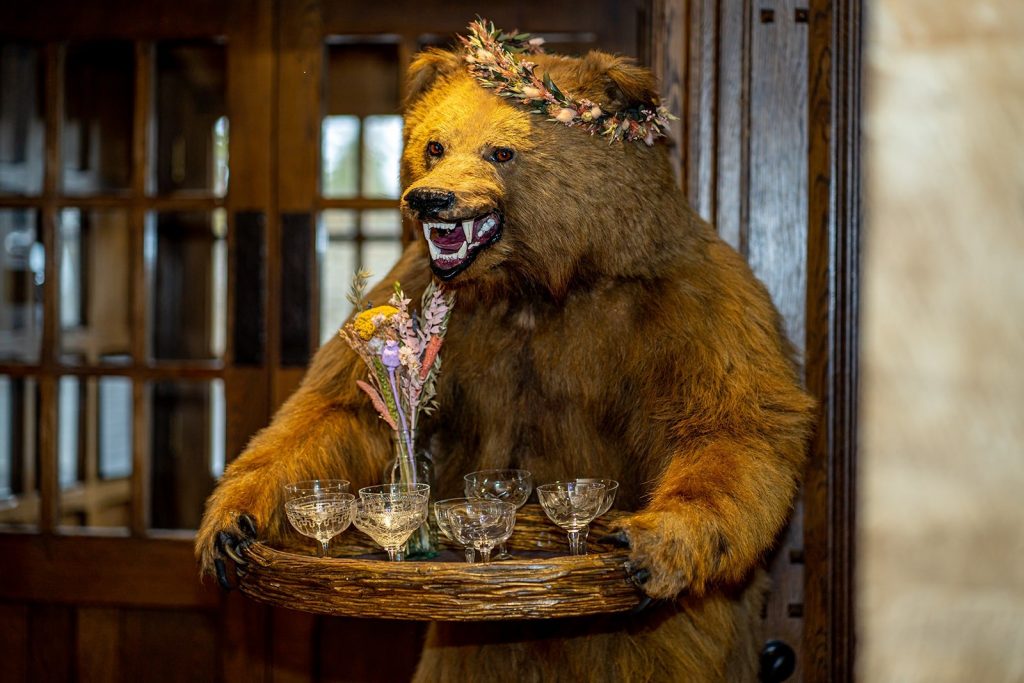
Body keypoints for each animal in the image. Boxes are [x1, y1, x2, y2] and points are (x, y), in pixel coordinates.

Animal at [196, 23, 814, 682]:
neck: (540, 284)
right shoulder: (424, 300)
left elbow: (734, 422)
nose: (430, 199)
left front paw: (652, 539)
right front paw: (231, 523)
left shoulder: (685, 308)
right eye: (435, 144)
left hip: (675, 637)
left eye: (502, 152)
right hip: (472, 647)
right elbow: (341, 409)